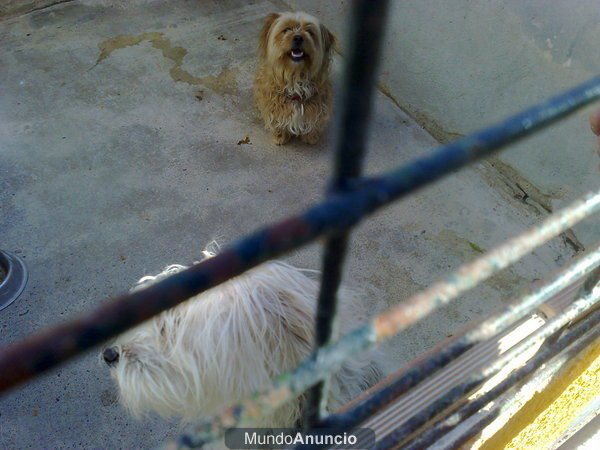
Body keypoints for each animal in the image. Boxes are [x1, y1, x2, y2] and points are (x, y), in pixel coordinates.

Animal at [253, 12, 336, 145]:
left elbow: (314, 125)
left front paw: (311, 138)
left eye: (309, 32)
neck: (295, 78)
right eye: (286, 29)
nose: (298, 38)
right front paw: (280, 136)